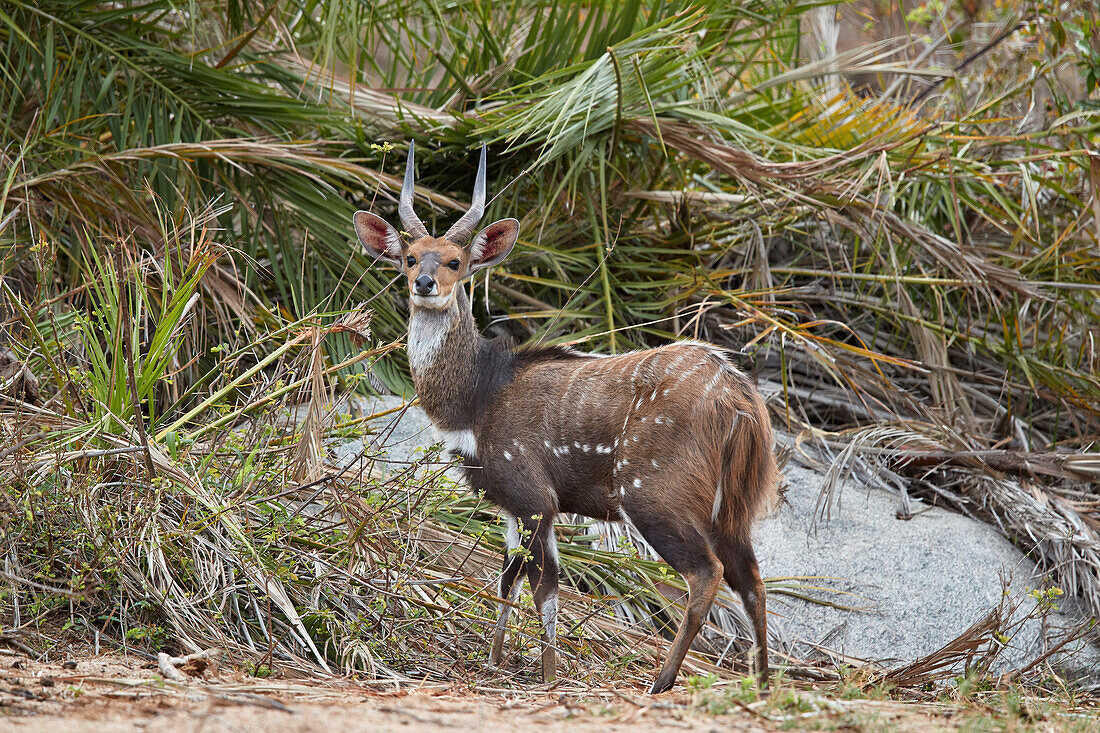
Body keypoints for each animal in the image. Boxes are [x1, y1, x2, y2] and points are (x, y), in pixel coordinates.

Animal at [356, 140, 778, 691]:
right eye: (408, 257)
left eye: (455, 261)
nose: (425, 283)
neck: (477, 399)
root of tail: (739, 399)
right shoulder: (509, 504)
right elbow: (507, 579)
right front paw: (495, 662)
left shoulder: (535, 495)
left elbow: (545, 589)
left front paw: (549, 677)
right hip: (733, 507)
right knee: (752, 581)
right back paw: (763, 684)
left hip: (652, 493)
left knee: (706, 574)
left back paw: (662, 682)